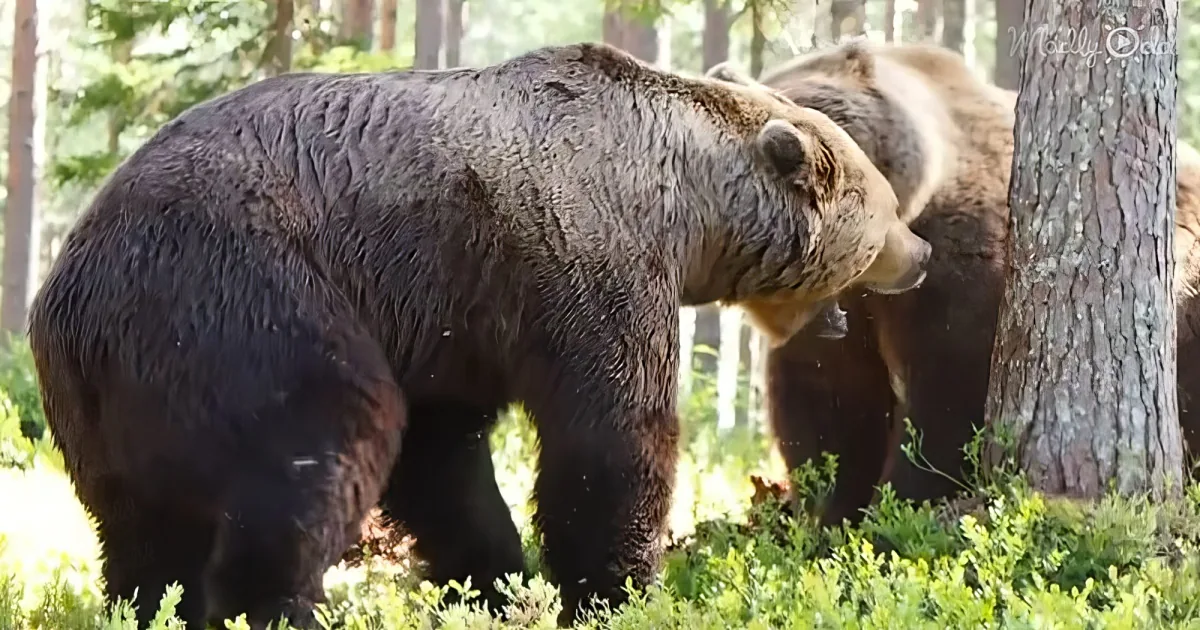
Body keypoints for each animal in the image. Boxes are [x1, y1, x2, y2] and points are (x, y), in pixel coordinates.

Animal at [27, 42, 931, 629]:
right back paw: (281, 606)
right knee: (316, 441)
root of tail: (71, 287)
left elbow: (443, 462)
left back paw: (148, 604)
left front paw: (494, 581)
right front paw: (619, 584)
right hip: (239, 297)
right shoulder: (580, 260)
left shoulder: (442, 317)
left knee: (141, 533)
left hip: (119, 395)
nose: (919, 256)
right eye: (887, 205)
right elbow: (609, 435)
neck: (683, 206)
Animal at [707, 41, 1200, 526]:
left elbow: (949, 392)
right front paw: (831, 510)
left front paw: (901, 505)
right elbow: (831, 403)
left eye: (802, 106)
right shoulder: (830, 314)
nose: (787, 146)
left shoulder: (959, 262)